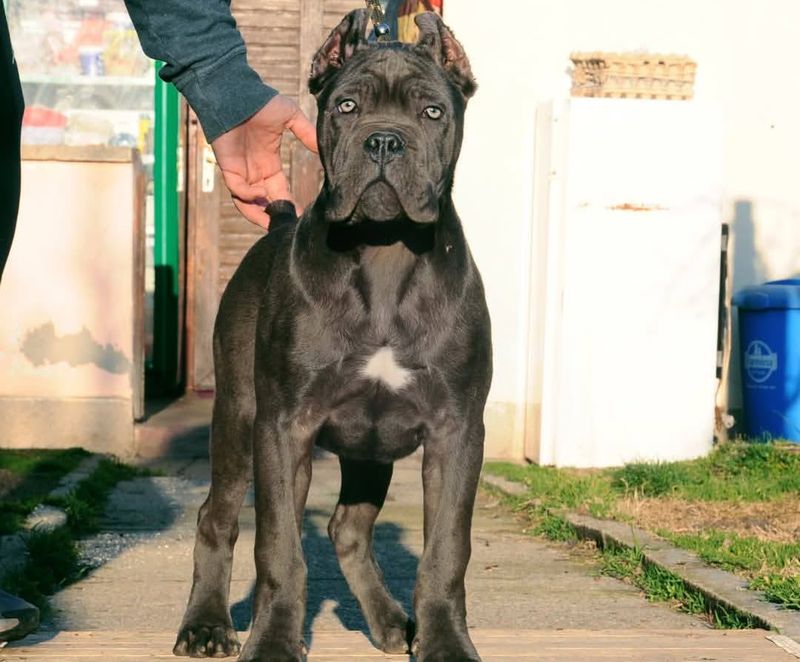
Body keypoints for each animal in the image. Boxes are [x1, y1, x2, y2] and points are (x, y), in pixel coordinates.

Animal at [172, 9, 490, 662]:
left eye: (432, 112)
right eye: (345, 106)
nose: (384, 140)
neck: (385, 252)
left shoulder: (456, 430)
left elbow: (447, 550)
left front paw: (445, 641)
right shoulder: (283, 425)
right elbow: (278, 549)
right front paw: (272, 641)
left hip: (371, 444)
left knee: (347, 527)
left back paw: (391, 621)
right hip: (238, 416)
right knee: (217, 517)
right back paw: (207, 624)